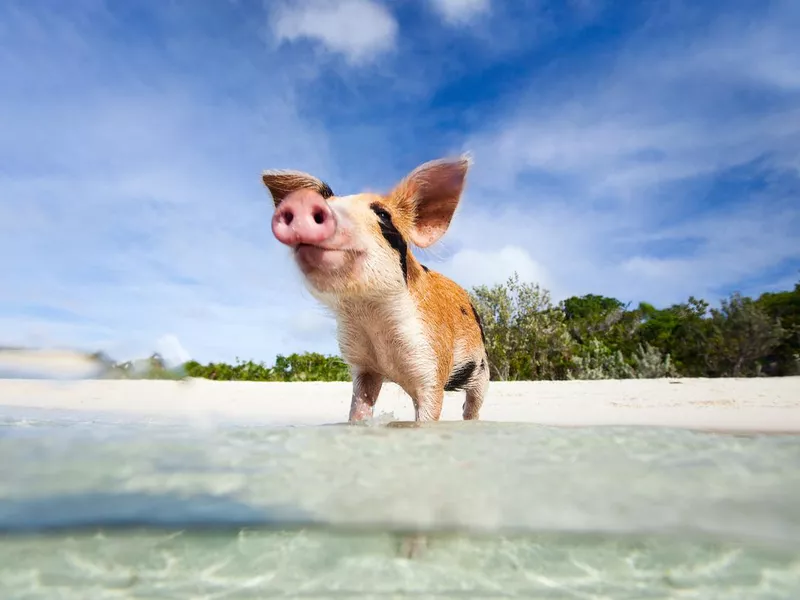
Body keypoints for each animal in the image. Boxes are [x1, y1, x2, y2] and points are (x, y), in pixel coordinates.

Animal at [262, 157, 488, 424]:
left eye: (382, 214)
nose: (302, 201)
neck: (371, 317)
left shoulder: (431, 360)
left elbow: (429, 410)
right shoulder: (363, 366)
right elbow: (360, 405)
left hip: (482, 366)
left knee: (472, 404)